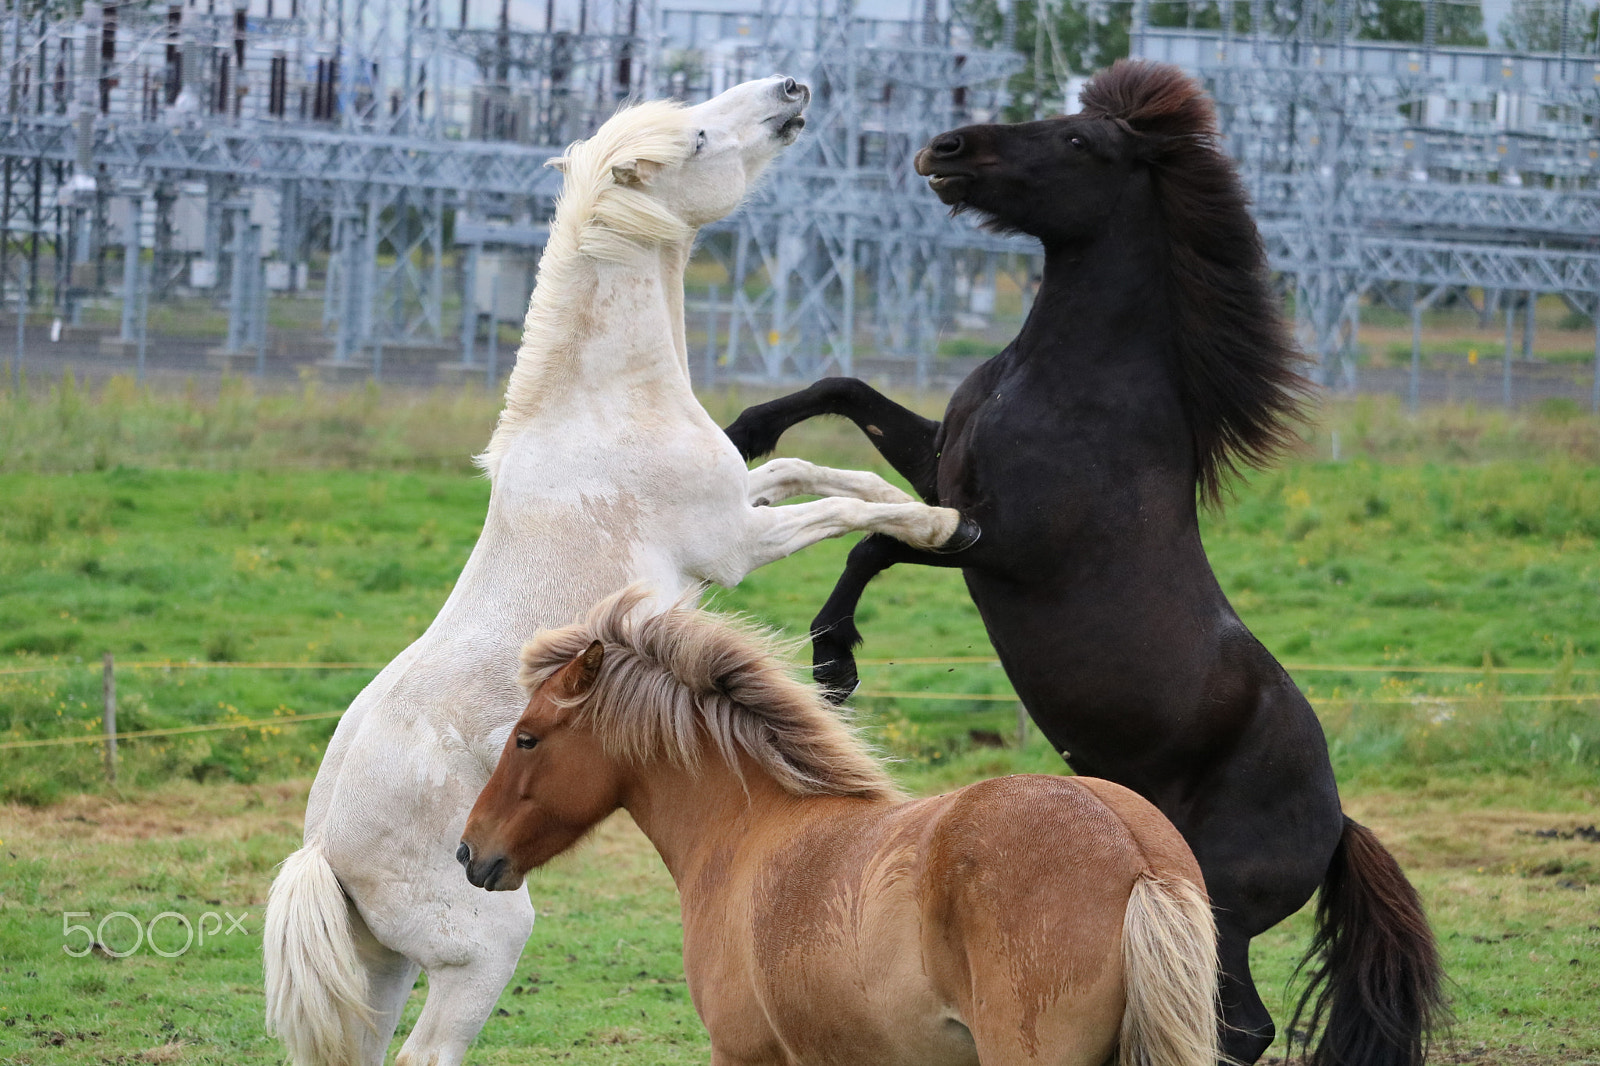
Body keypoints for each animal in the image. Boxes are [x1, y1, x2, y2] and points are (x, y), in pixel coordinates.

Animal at [263, 77, 975, 1066]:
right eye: (701, 135)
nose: (792, 90)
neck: (603, 407)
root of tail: (324, 848)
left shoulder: (741, 502)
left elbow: (814, 474)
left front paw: (909, 501)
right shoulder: (734, 544)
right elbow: (839, 510)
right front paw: (944, 522)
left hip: (382, 968)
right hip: (484, 941)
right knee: (427, 1053)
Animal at [720, 61, 1444, 1066]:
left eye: (1077, 142)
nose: (945, 148)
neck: (1074, 385)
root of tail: (1337, 824)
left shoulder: (1004, 542)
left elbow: (883, 538)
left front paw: (834, 658)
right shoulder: (943, 464)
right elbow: (847, 395)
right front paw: (746, 431)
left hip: (1215, 905)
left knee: (1242, 1023)